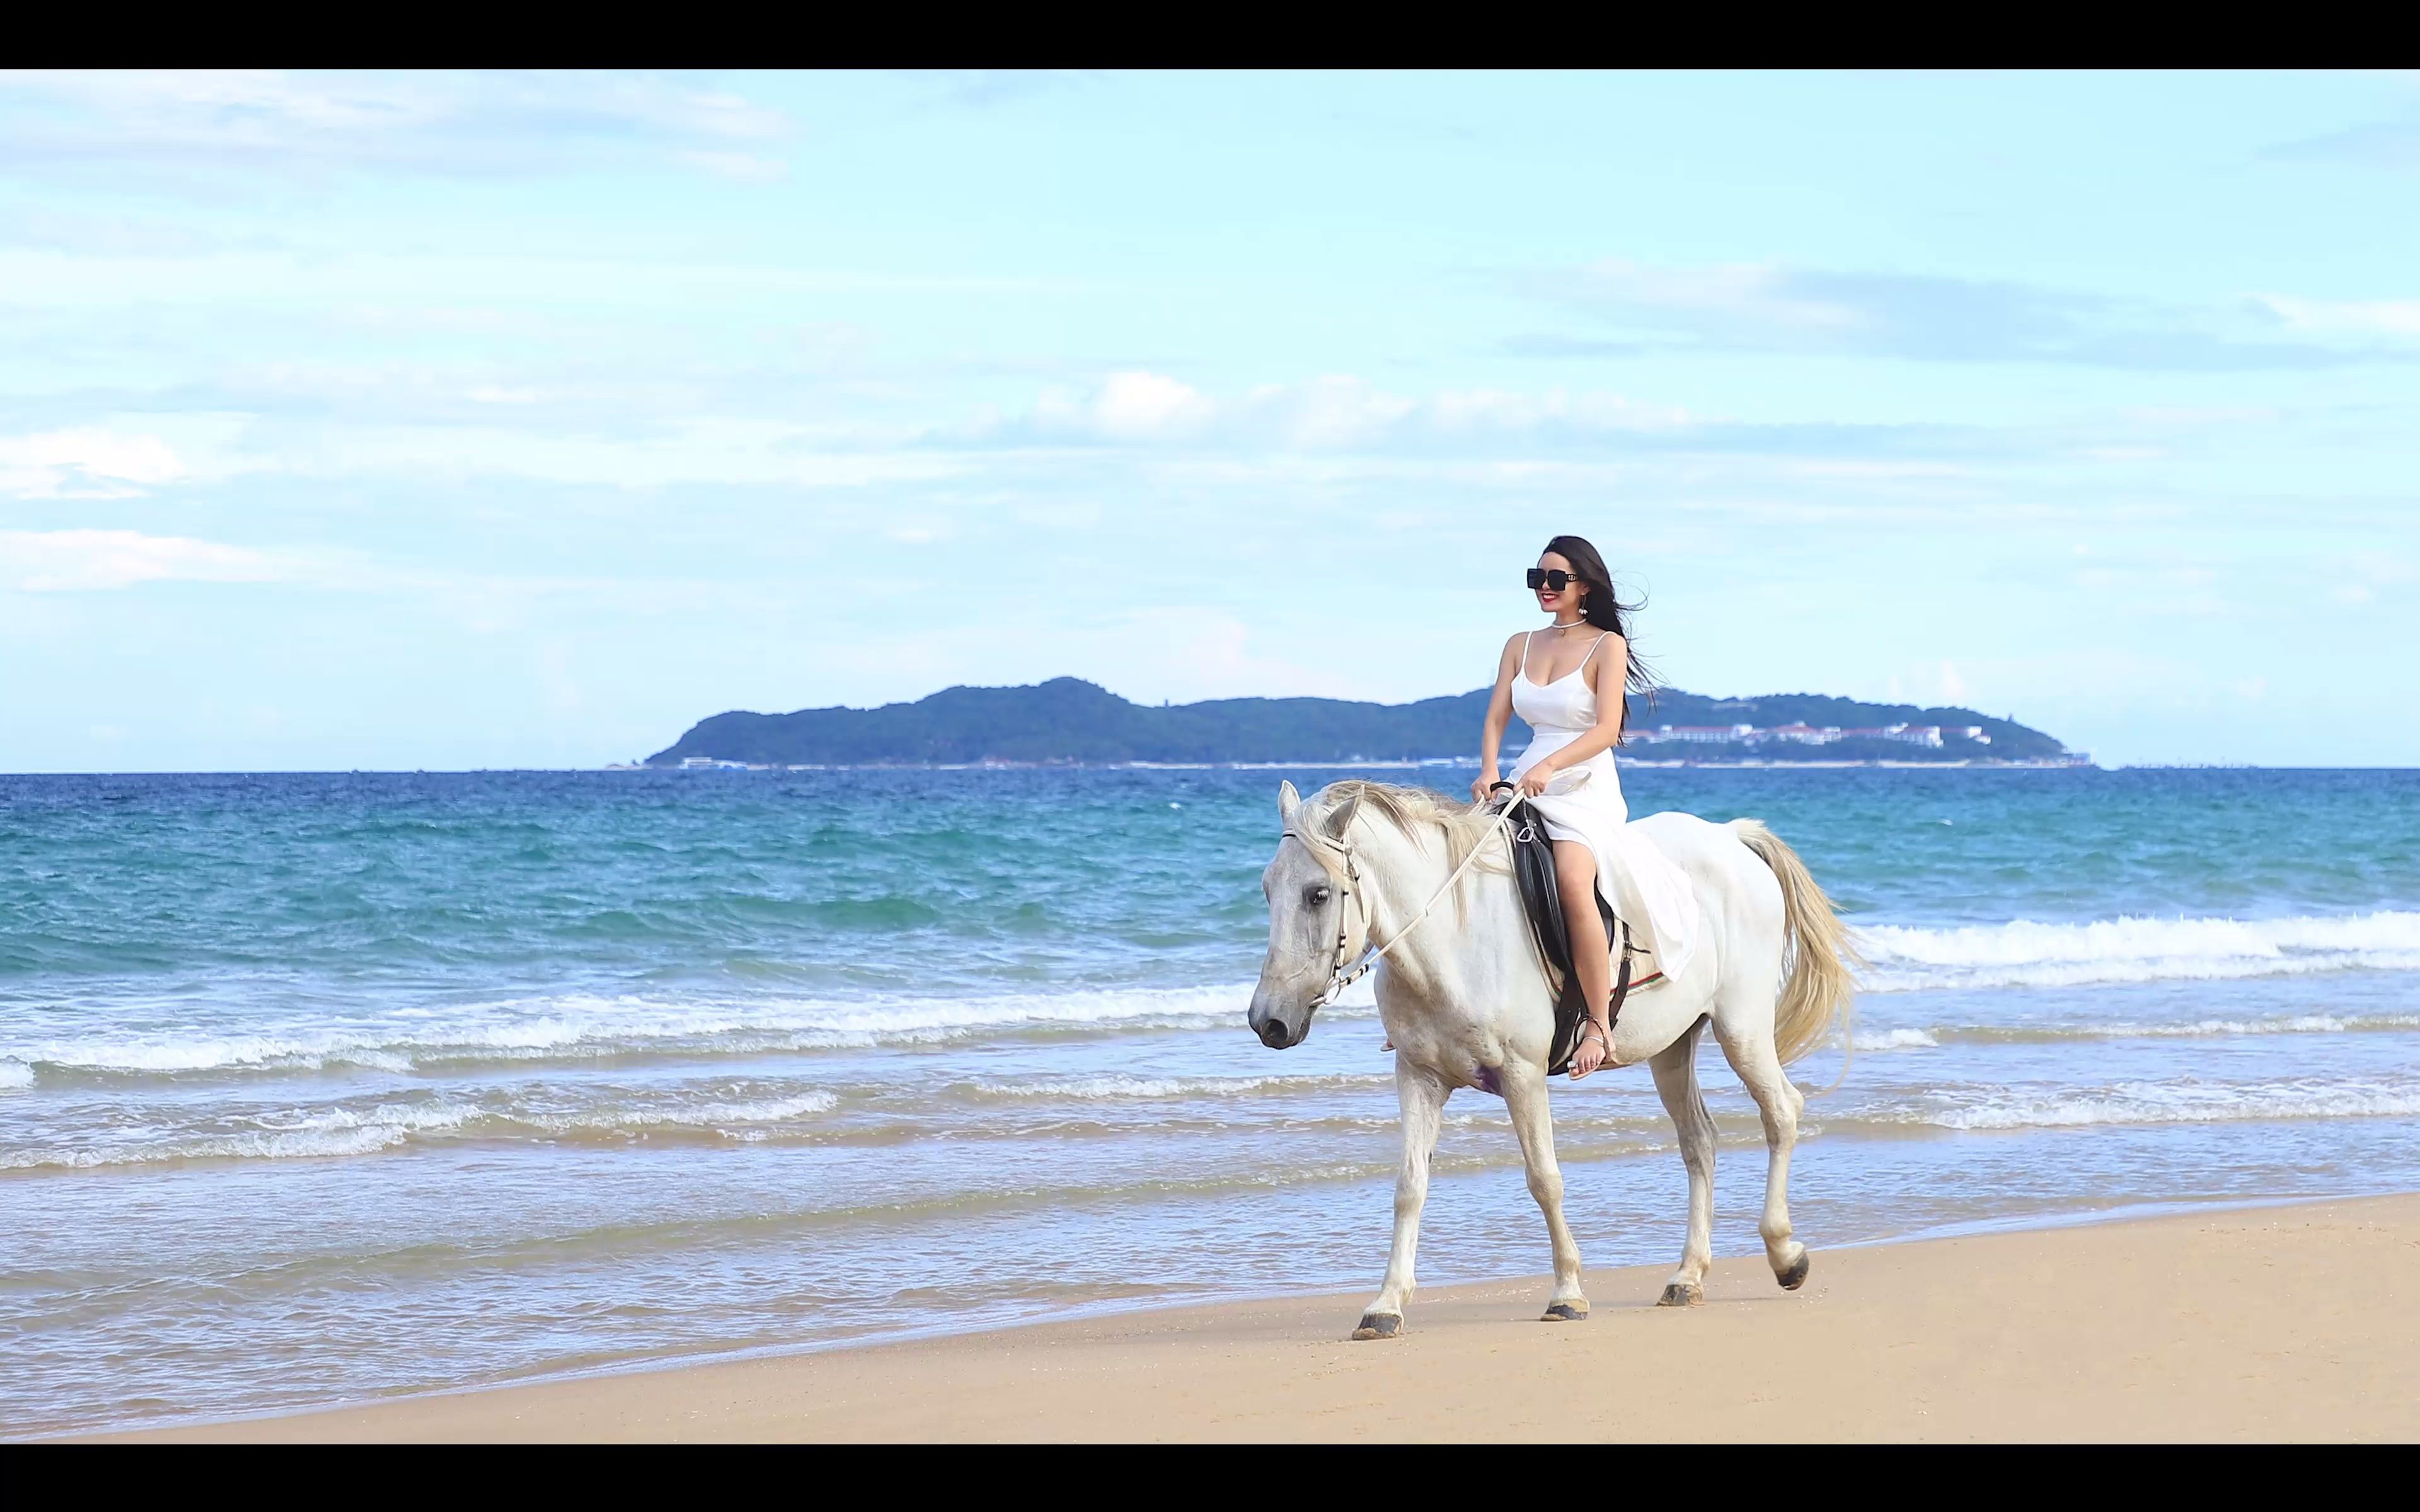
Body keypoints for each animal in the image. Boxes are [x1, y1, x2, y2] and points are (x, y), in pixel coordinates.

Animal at [1248, 779, 1848, 1335]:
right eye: (1267, 891)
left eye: (1318, 894)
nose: (1267, 1022)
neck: (1452, 939)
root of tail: (1730, 838)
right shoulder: (1418, 1076)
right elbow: (1409, 1187)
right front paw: (1386, 1304)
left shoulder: (1523, 1076)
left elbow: (1544, 1179)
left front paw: (1567, 1293)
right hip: (1673, 1046)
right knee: (1700, 1142)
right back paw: (1688, 1276)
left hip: (1741, 1027)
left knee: (1781, 1112)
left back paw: (1785, 1253)